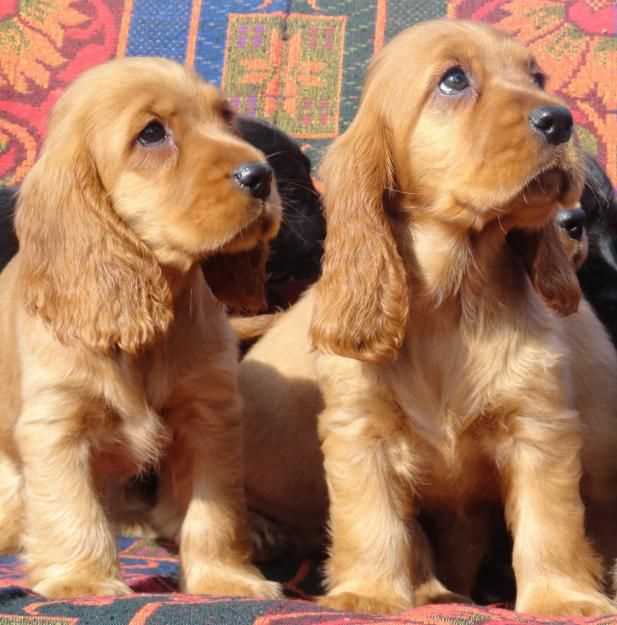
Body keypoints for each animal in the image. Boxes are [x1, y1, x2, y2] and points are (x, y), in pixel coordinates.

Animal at [0, 56, 282, 596]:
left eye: (225, 116)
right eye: (152, 134)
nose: (261, 175)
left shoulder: (209, 416)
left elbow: (214, 513)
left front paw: (225, 578)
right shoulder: (55, 422)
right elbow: (71, 507)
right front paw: (84, 580)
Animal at [238, 18, 616, 616]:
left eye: (536, 76)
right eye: (454, 80)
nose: (560, 119)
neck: (454, 296)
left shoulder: (540, 425)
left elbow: (550, 522)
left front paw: (563, 598)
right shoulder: (359, 429)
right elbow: (373, 521)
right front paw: (368, 593)